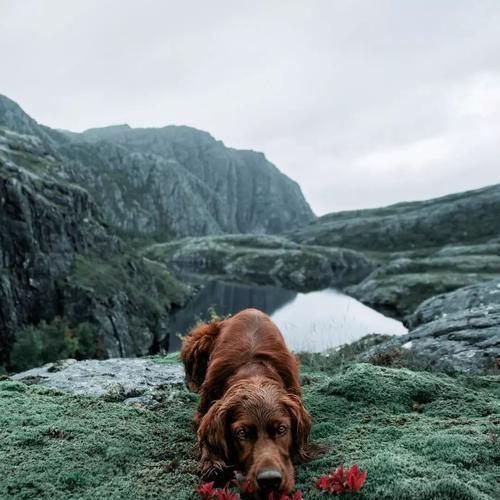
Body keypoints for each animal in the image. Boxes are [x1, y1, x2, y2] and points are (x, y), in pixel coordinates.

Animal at [181, 306, 312, 494]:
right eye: (241, 433)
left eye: (282, 429)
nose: (270, 480)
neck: (253, 371)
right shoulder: (204, 412)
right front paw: (212, 463)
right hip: (200, 338)